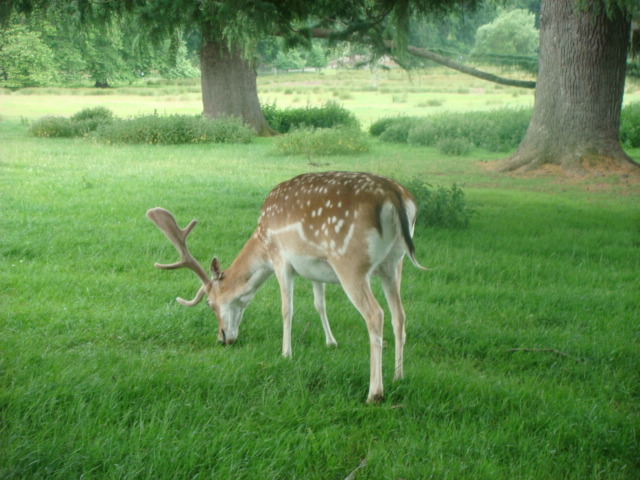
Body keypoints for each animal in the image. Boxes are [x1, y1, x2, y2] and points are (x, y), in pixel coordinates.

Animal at [146, 171, 424, 404]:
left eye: (209, 303)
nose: (222, 338)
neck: (261, 241)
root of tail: (395, 195)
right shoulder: (315, 269)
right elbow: (319, 303)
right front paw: (331, 342)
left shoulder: (280, 259)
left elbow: (286, 309)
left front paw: (286, 353)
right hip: (393, 262)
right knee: (399, 314)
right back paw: (399, 376)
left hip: (350, 262)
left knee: (375, 314)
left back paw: (374, 393)